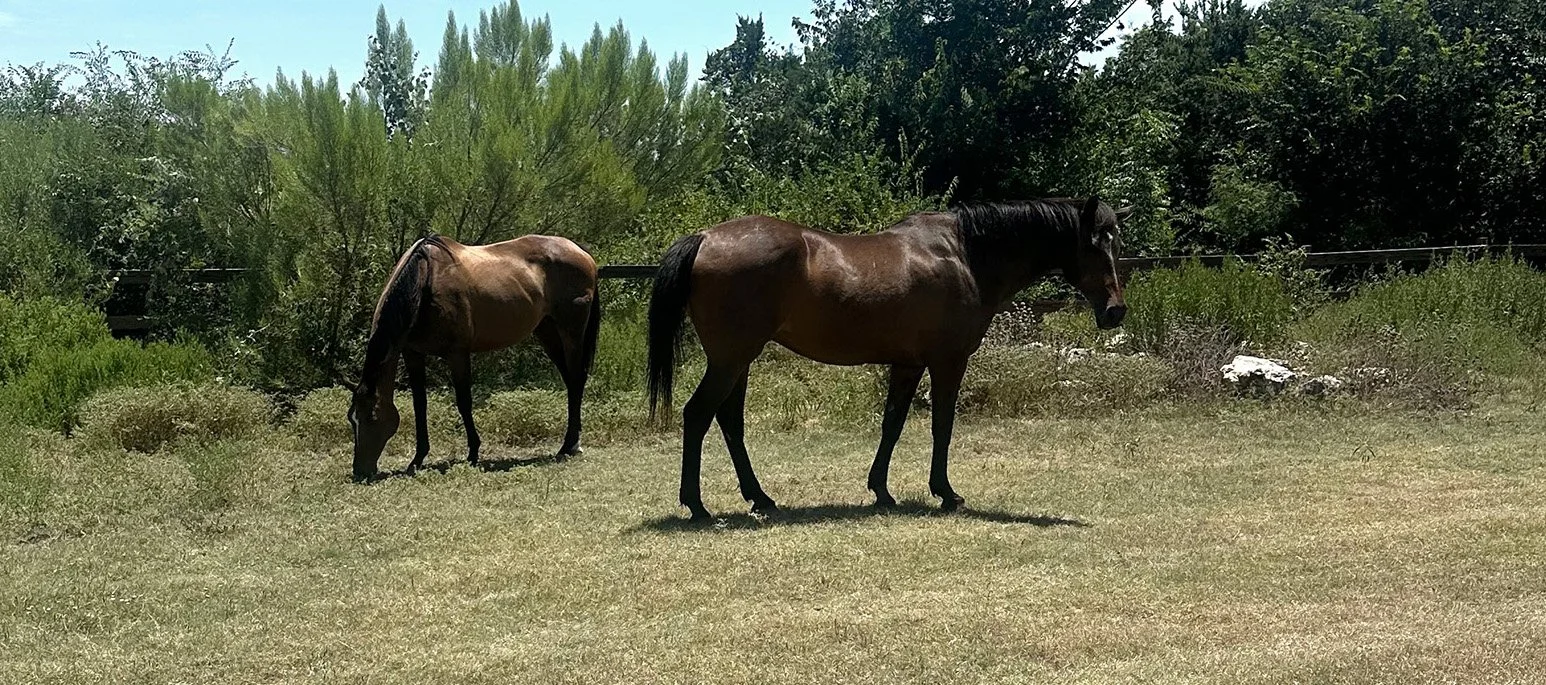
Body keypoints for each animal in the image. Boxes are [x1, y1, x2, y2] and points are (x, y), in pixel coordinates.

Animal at [346, 234, 601, 482]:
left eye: (371, 417)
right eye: (351, 418)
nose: (360, 470)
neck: (425, 281)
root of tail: (581, 252)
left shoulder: (458, 354)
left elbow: (464, 402)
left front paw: (473, 453)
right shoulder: (413, 354)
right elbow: (420, 405)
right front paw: (417, 459)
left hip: (571, 332)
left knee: (576, 380)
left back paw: (569, 446)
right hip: (547, 331)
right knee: (570, 381)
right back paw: (571, 443)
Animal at [646, 197, 1128, 519]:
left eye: (1117, 245)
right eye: (1093, 245)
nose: (1115, 311)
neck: (965, 254)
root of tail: (705, 238)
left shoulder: (908, 364)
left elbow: (892, 424)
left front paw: (881, 490)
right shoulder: (948, 361)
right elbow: (942, 425)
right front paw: (946, 492)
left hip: (738, 361)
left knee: (729, 421)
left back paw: (760, 498)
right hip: (731, 359)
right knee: (698, 415)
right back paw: (697, 506)